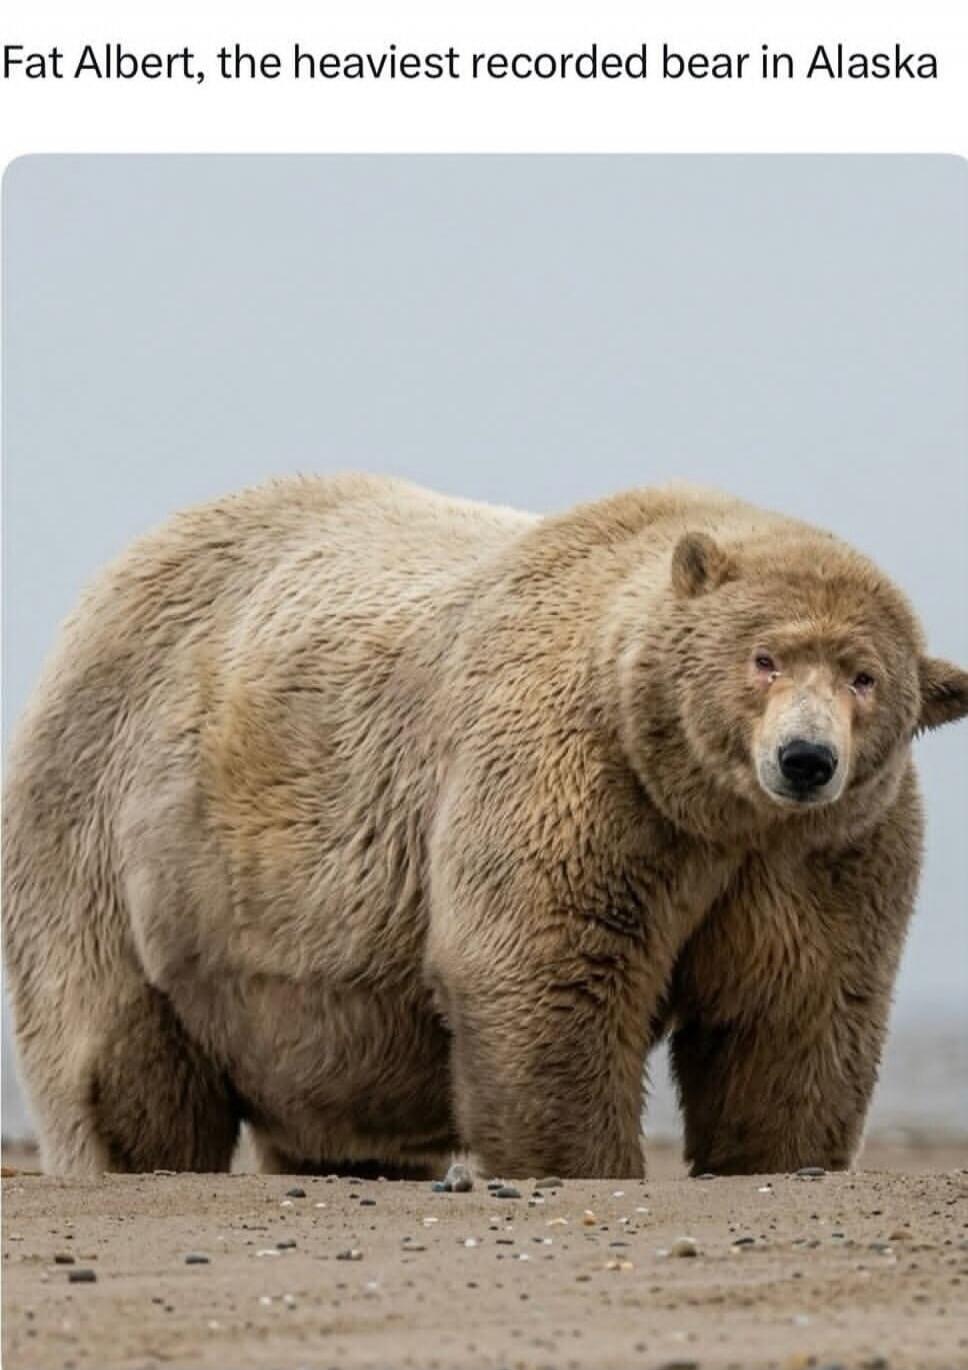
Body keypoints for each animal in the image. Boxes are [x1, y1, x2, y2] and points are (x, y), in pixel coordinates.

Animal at [3, 474, 966, 1178]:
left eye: (863, 676)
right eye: (763, 659)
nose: (806, 759)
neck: (704, 804)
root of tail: (113, 579)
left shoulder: (819, 853)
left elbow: (796, 1008)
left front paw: (776, 1156)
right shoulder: (579, 775)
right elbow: (546, 971)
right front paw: (581, 1159)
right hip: (111, 826)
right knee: (114, 1051)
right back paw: (132, 1157)